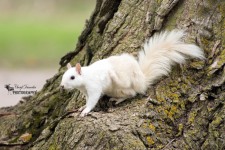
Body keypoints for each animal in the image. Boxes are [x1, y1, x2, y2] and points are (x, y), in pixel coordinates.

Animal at [59, 29, 204, 116]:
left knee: (132, 93)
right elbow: (87, 99)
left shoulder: (94, 86)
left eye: (72, 77)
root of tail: (141, 81)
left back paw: (118, 98)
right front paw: (82, 107)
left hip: (123, 85)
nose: (62, 86)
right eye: (63, 76)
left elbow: (93, 100)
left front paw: (86, 111)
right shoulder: (86, 92)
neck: (85, 79)